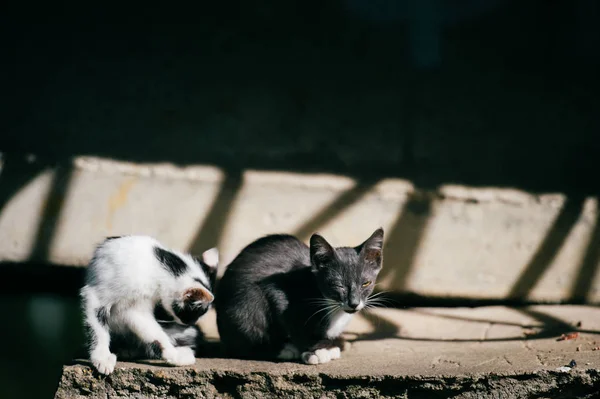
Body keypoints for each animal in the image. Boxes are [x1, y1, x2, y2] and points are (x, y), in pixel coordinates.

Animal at [81, 234, 218, 376]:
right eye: (193, 314)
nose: (191, 323)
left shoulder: (136, 308)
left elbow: (152, 331)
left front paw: (174, 354)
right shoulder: (97, 295)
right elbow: (98, 329)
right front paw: (102, 357)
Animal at [216, 228, 384, 366]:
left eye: (366, 283)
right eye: (338, 285)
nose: (354, 303)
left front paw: (329, 344)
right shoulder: (277, 289)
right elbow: (294, 324)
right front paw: (318, 350)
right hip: (246, 303)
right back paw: (283, 349)